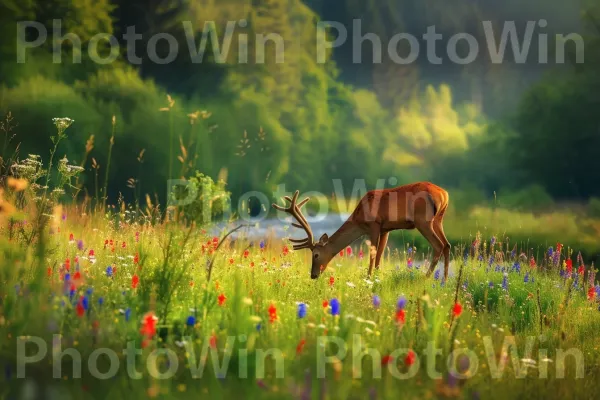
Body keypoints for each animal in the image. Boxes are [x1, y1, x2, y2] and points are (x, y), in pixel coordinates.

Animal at [272, 183, 450, 280]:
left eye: (315, 254)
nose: (313, 275)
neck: (359, 219)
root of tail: (444, 194)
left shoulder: (374, 224)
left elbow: (372, 255)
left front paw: (368, 278)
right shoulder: (386, 228)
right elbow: (379, 256)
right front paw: (376, 278)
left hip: (423, 220)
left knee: (439, 245)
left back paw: (425, 278)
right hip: (438, 220)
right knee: (447, 245)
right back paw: (444, 280)